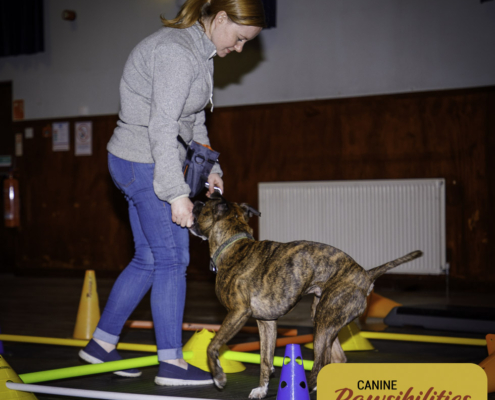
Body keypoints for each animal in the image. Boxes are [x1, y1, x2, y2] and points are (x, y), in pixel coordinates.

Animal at [190, 192, 422, 398]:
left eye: (202, 207)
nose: (193, 203)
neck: (234, 245)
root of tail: (365, 274)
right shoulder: (267, 323)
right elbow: (265, 359)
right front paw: (262, 389)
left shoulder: (238, 312)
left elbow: (212, 345)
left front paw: (218, 376)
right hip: (325, 321)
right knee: (336, 359)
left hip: (324, 323)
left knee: (320, 363)